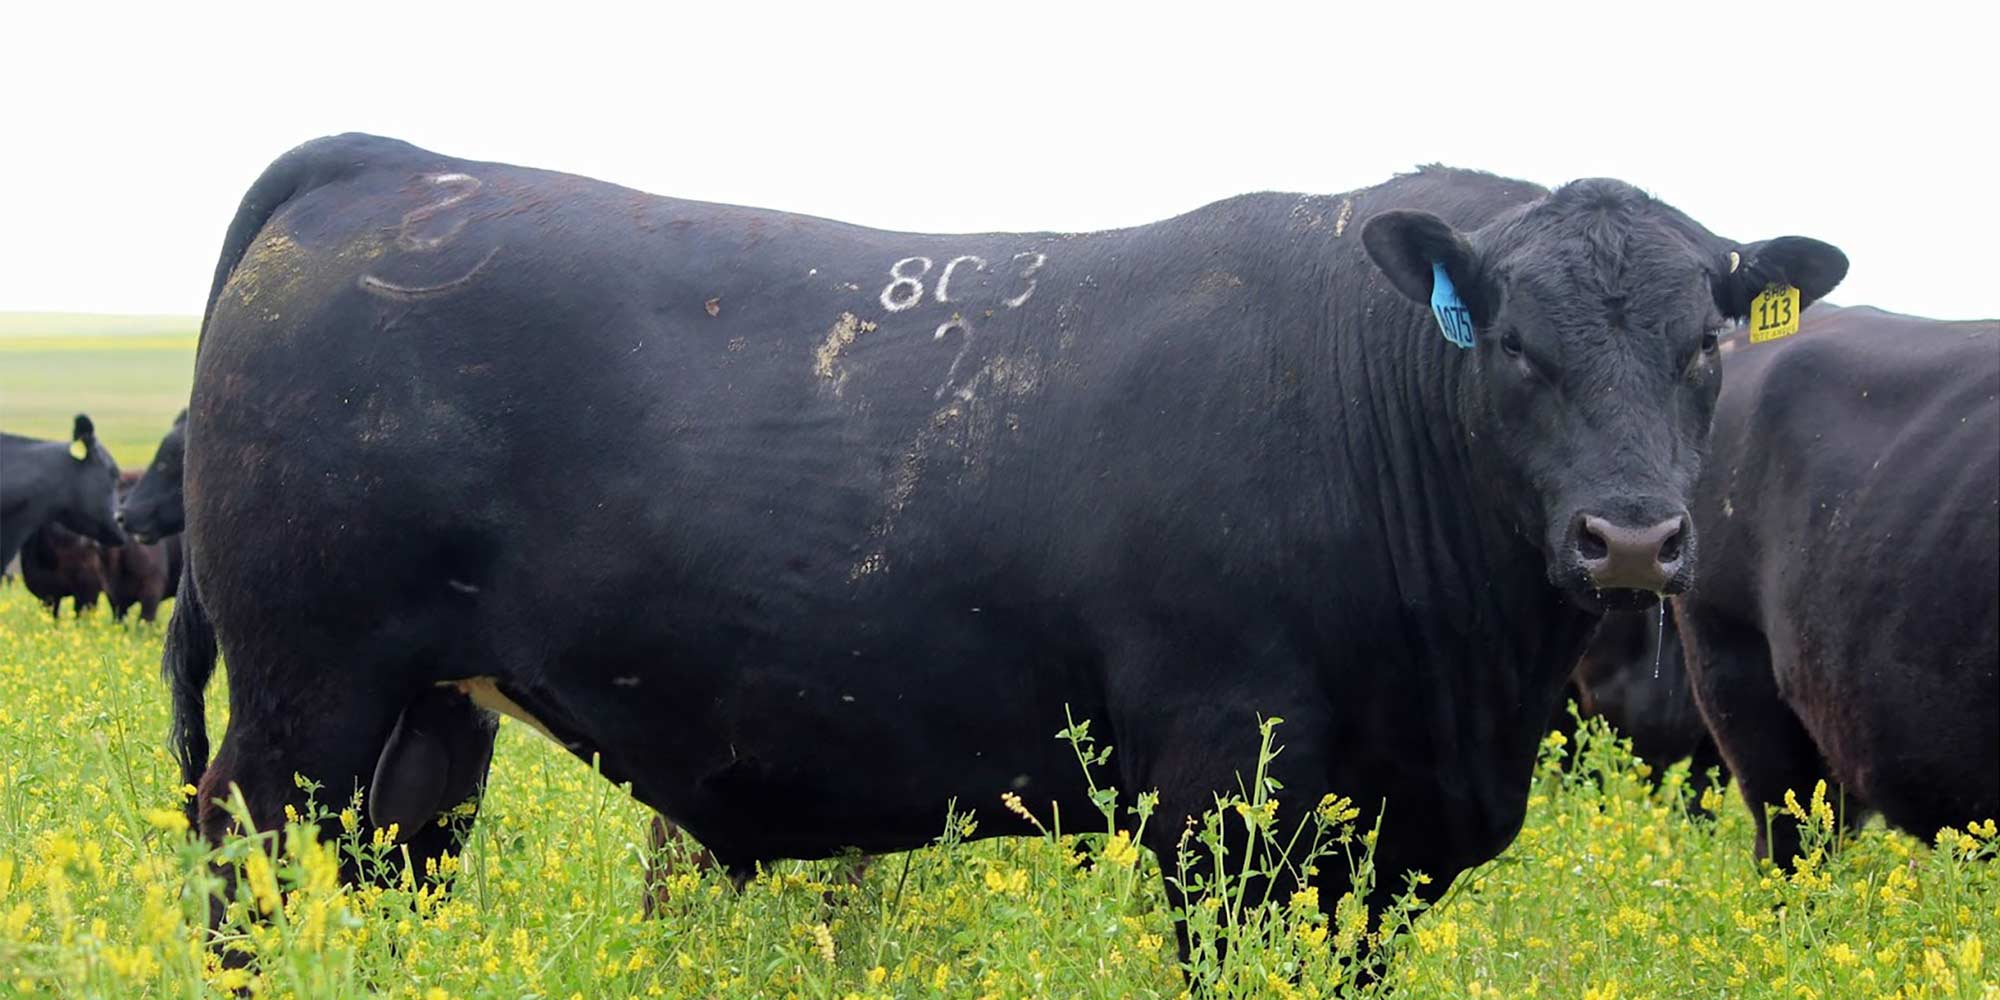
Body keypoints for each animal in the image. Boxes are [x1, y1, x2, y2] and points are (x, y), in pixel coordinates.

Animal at [164, 135, 1848, 952]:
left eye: (1708, 344)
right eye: (1513, 349)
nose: (1630, 536)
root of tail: (398, 168)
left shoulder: (1384, 839)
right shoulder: (1221, 797)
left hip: (427, 727)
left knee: (386, 885)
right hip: (300, 701)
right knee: (248, 882)